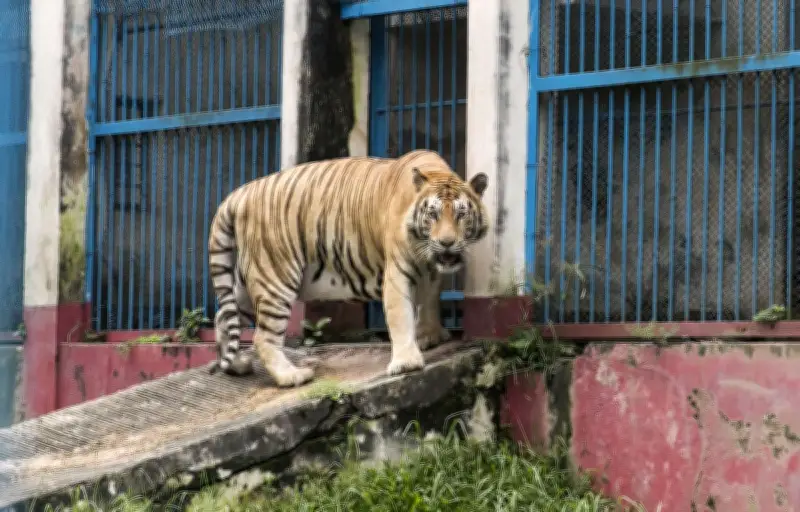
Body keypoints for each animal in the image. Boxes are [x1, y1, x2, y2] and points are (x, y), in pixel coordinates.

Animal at [207, 149, 489, 387]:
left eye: (462, 214)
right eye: (432, 214)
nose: (447, 243)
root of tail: (240, 193)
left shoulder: (431, 272)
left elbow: (429, 301)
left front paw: (430, 335)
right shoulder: (398, 271)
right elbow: (400, 315)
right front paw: (407, 362)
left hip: (250, 282)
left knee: (224, 316)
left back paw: (237, 365)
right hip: (276, 277)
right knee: (262, 337)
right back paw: (291, 376)